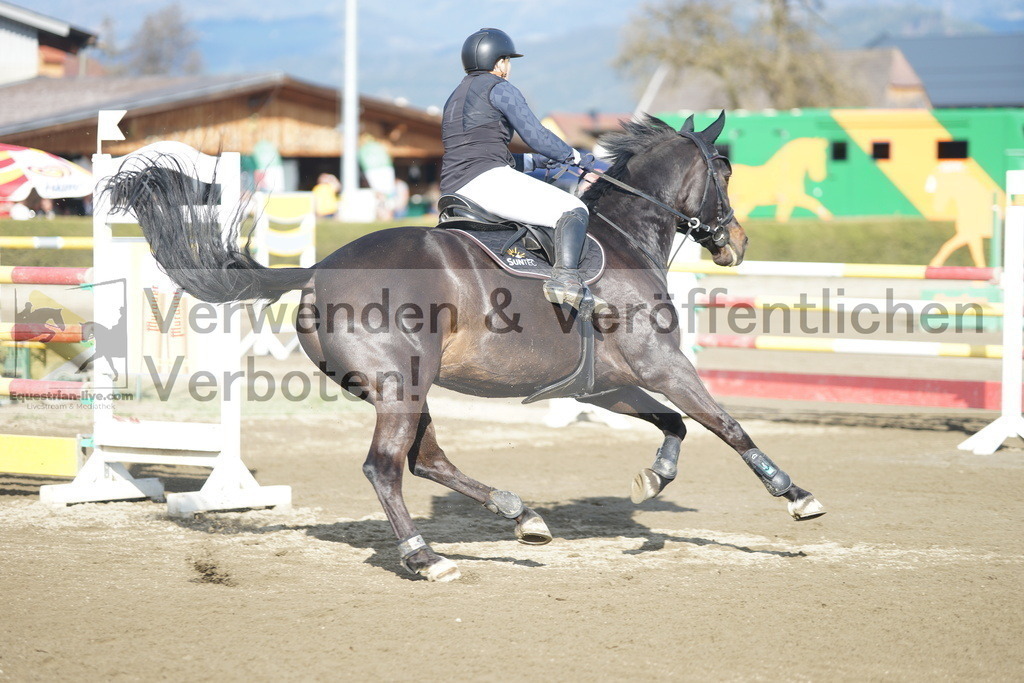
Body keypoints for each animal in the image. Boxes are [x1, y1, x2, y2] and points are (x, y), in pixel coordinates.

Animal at [103, 112, 823, 581]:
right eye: (724, 170)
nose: (738, 243)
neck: (621, 237)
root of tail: (319, 269)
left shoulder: (607, 384)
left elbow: (675, 423)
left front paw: (655, 476)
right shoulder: (661, 364)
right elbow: (724, 423)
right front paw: (793, 493)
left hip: (407, 385)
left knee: (425, 458)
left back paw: (519, 513)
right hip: (401, 386)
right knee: (385, 466)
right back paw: (427, 556)